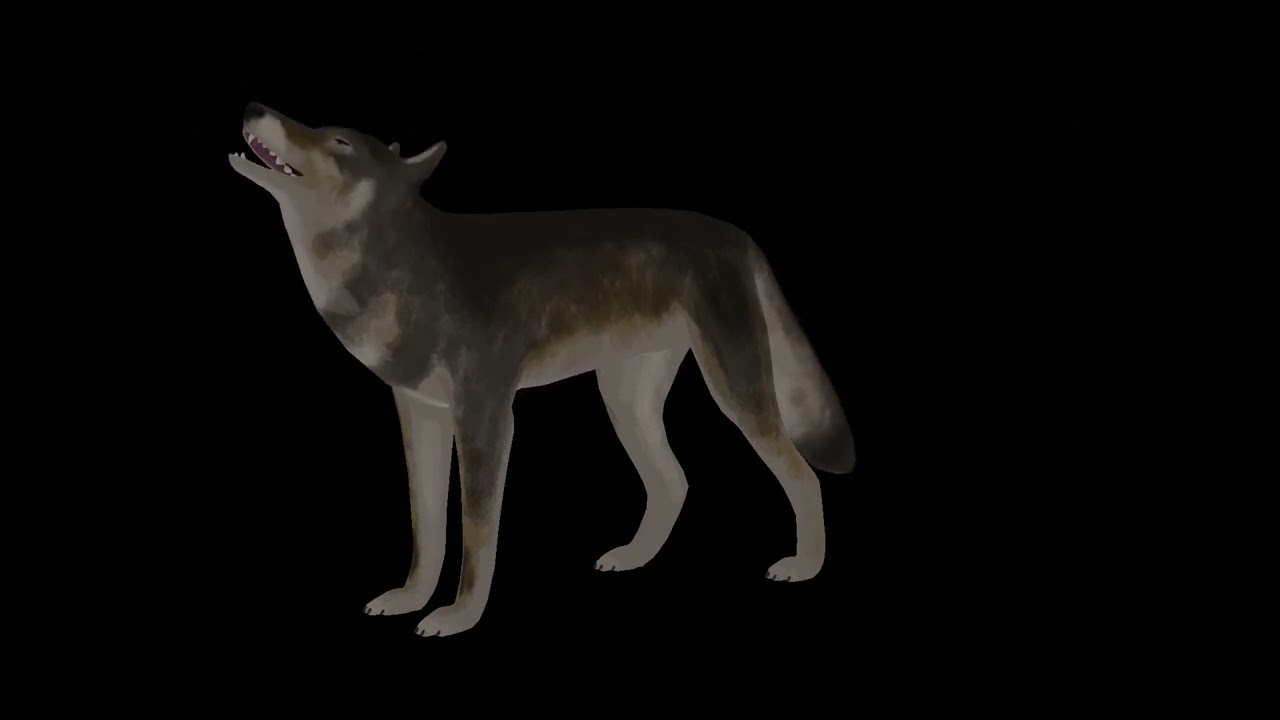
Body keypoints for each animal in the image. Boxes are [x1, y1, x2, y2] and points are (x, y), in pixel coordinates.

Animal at [229, 102, 855, 637]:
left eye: (337, 142)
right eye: (319, 128)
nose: (254, 107)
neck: (401, 268)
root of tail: (739, 235)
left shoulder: (485, 419)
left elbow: (476, 534)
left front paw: (457, 616)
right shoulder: (420, 415)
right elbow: (427, 528)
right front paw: (410, 599)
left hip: (737, 397)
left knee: (802, 477)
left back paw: (805, 566)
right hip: (625, 404)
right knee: (673, 481)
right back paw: (633, 559)